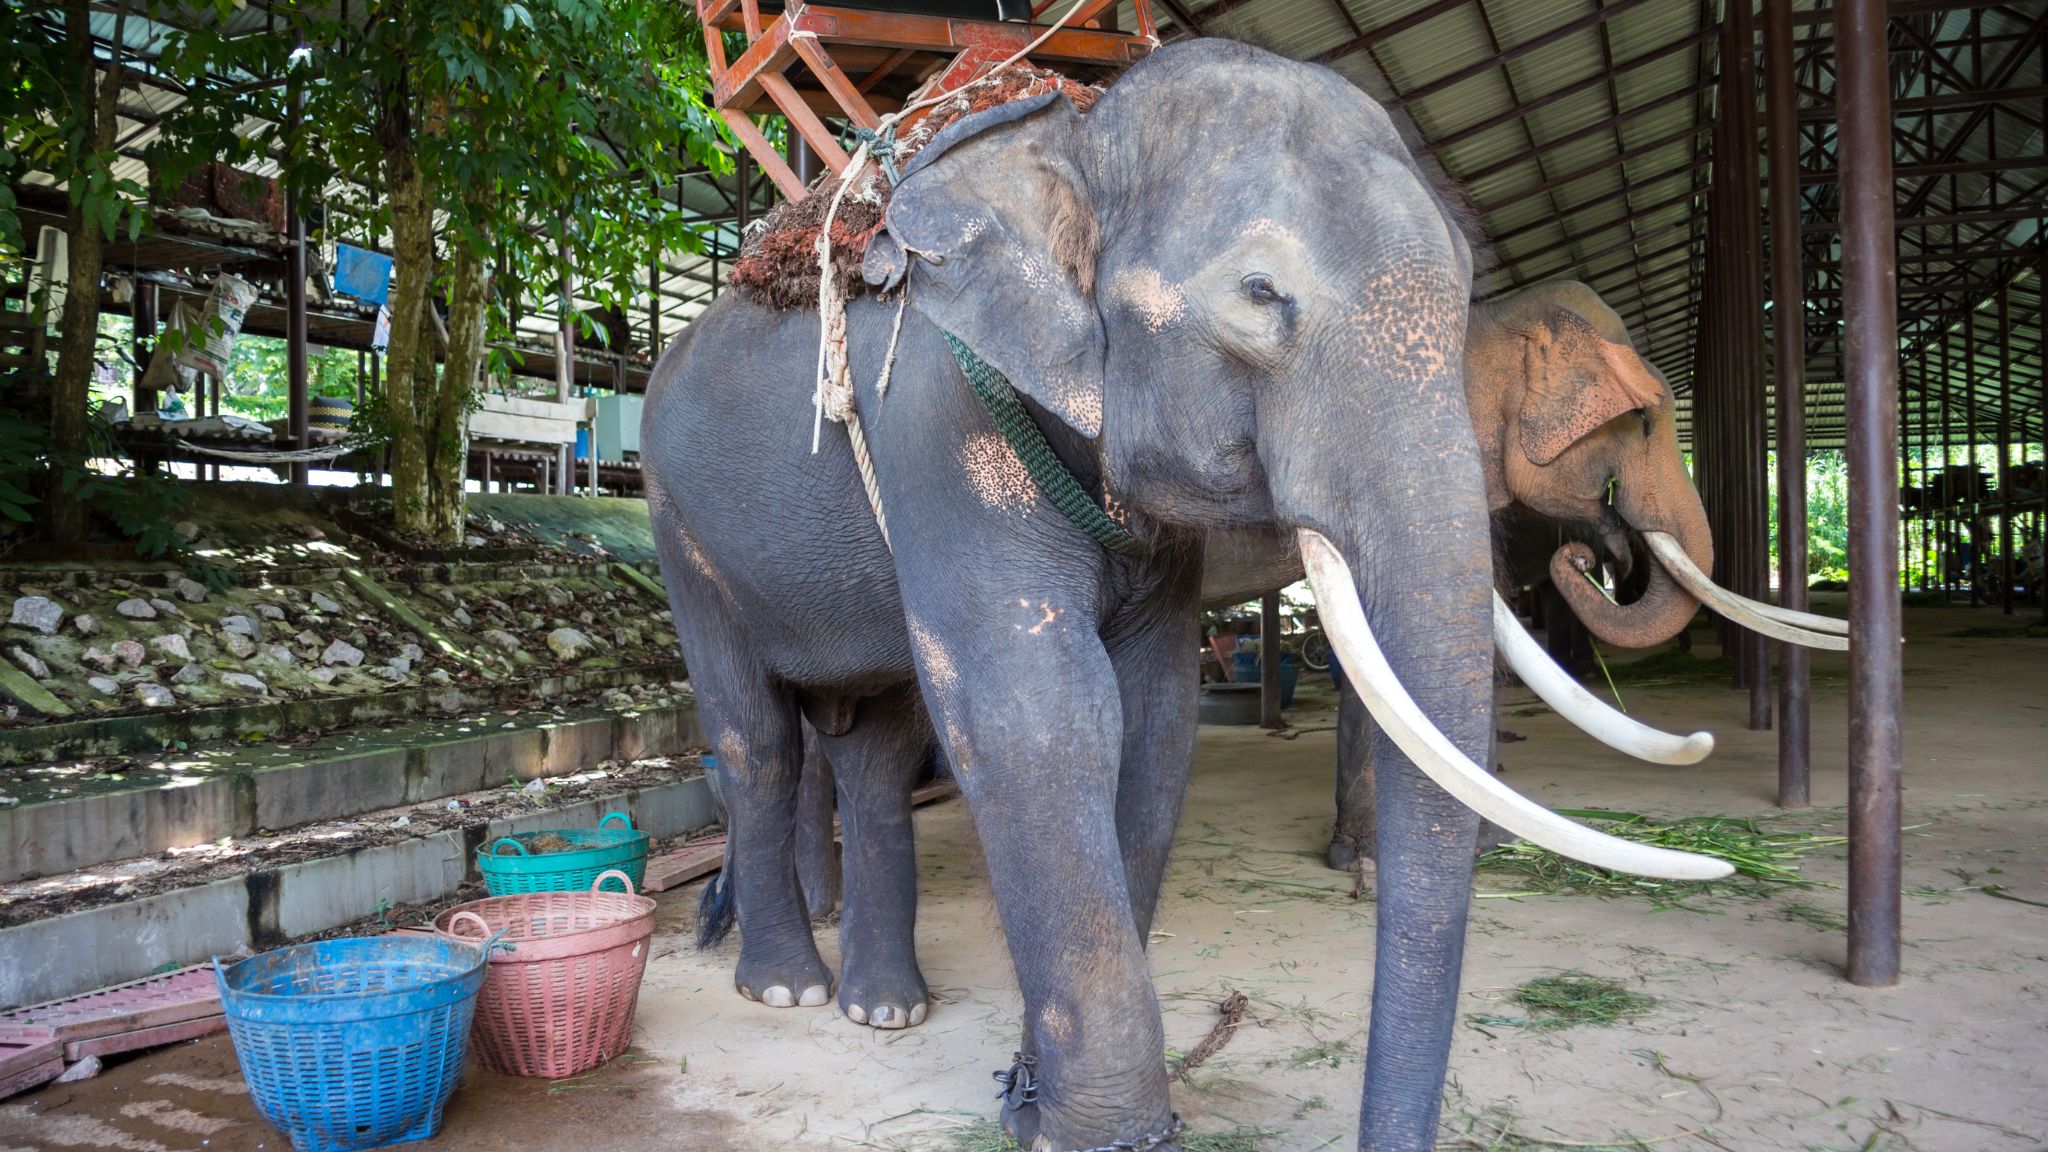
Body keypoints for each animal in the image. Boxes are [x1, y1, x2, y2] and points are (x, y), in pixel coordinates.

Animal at [645, 40, 1725, 1152]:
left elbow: (1156, 715)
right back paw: (786, 986)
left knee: (871, 743)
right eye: (1257, 293)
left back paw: (882, 1004)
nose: (1595, 555)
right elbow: (1039, 714)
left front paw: (1034, 1100)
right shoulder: (939, 427)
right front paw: (1093, 1132)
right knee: (758, 739)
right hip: (676, 523)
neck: (1075, 135)